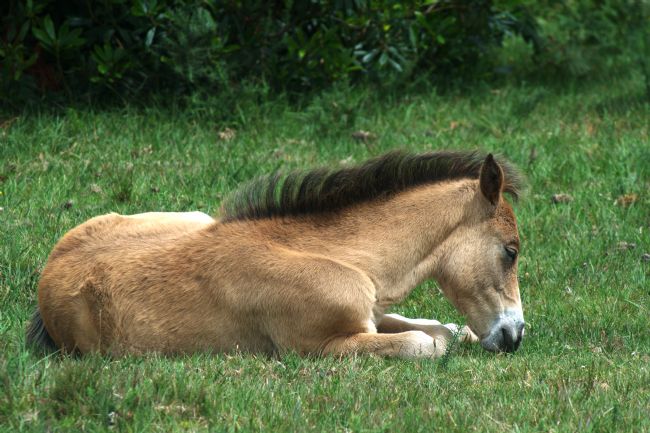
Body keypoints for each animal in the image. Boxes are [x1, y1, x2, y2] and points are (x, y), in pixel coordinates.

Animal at [27, 150, 525, 358]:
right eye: (511, 251)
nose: (514, 335)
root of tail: (49, 271)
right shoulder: (318, 347)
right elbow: (426, 342)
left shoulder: (368, 314)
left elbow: (439, 326)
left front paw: (460, 332)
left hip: (195, 215)